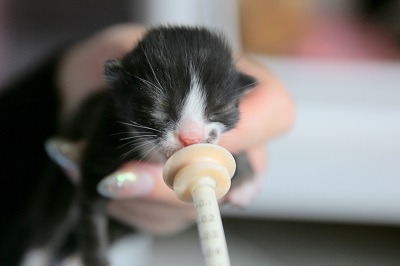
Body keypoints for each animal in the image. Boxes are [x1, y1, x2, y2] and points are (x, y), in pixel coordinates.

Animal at [21, 26, 256, 264]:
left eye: (218, 109)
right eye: (160, 108)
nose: (190, 138)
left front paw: (244, 181)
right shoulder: (102, 140)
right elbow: (91, 217)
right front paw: (97, 258)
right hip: (60, 182)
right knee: (50, 223)